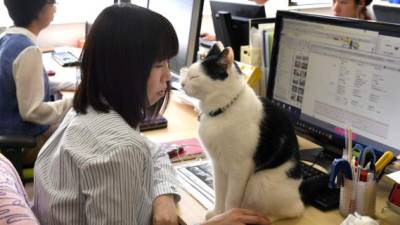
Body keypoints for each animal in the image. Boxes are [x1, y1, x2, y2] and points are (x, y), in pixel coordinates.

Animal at [180, 42, 304, 221]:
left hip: (259, 181)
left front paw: (229, 216)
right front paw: (218, 213)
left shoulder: (239, 168)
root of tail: (297, 197)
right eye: (188, 73)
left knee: (288, 212)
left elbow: (231, 199)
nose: (181, 83)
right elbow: (219, 192)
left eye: (194, 77)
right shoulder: (217, 164)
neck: (221, 110)